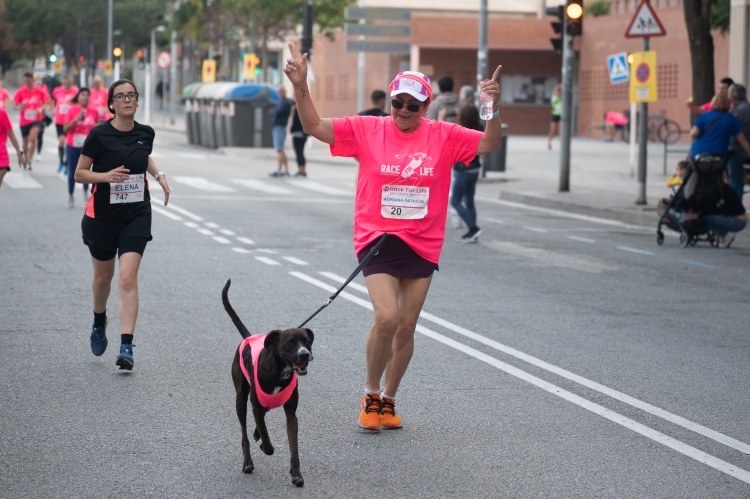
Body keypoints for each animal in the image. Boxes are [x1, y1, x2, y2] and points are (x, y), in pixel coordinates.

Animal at [225, 280, 316, 486]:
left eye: (307, 342)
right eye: (290, 343)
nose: (305, 354)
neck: (280, 372)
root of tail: (248, 338)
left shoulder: (291, 414)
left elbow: (294, 447)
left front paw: (296, 474)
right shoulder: (256, 407)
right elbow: (267, 442)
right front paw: (265, 447)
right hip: (241, 399)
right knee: (244, 433)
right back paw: (248, 462)